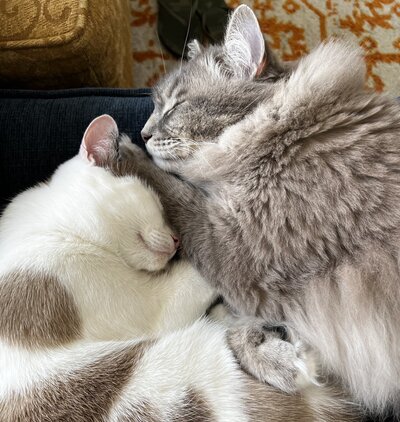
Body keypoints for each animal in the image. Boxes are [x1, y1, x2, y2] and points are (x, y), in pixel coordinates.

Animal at [121, 4, 400, 420]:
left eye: (177, 106)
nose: (143, 133)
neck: (284, 125)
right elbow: (227, 325)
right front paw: (281, 357)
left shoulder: (235, 248)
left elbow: (169, 190)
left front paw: (120, 149)